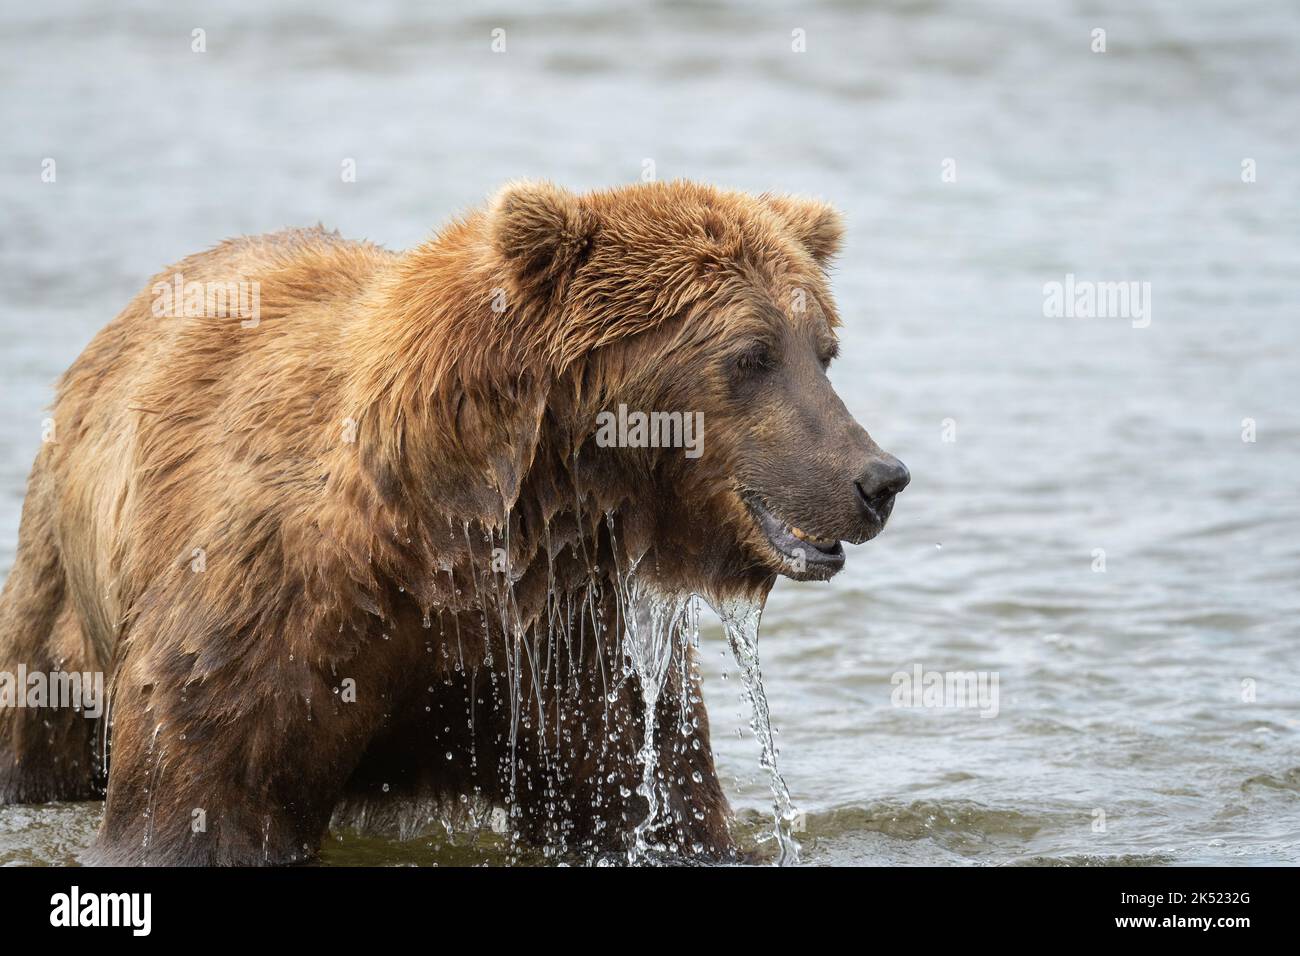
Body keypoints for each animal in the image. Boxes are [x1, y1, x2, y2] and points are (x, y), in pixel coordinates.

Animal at [0, 180, 909, 868]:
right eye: (751, 354)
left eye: (823, 349)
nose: (878, 478)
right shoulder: (263, 609)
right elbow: (199, 802)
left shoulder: (566, 638)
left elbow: (658, 799)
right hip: (58, 595)